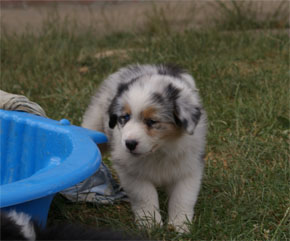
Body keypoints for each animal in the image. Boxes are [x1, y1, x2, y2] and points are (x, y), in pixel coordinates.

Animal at [82, 64, 207, 233]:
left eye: (152, 121)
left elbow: (183, 197)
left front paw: (180, 225)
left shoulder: (189, 167)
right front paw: (150, 223)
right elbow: (145, 195)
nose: (129, 144)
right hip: (95, 124)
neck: (160, 150)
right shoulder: (132, 171)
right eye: (125, 117)